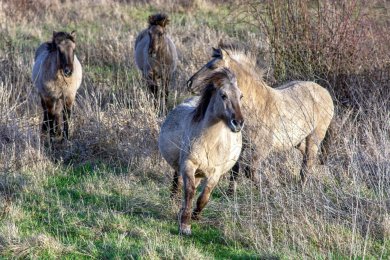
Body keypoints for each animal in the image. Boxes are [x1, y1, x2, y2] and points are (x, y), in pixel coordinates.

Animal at [158, 67, 244, 236]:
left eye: (241, 96)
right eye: (223, 95)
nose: (238, 123)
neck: (209, 143)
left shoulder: (215, 173)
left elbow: (204, 197)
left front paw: (195, 217)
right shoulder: (188, 165)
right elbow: (190, 192)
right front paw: (185, 225)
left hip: (200, 174)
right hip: (183, 168)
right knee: (178, 185)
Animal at [187, 46, 334, 191]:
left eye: (213, 67)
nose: (190, 83)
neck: (256, 106)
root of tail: (325, 92)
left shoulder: (263, 147)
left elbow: (250, 171)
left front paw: (270, 190)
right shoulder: (241, 146)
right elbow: (235, 170)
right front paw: (231, 192)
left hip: (314, 136)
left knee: (307, 162)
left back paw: (302, 188)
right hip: (297, 140)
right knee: (309, 158)